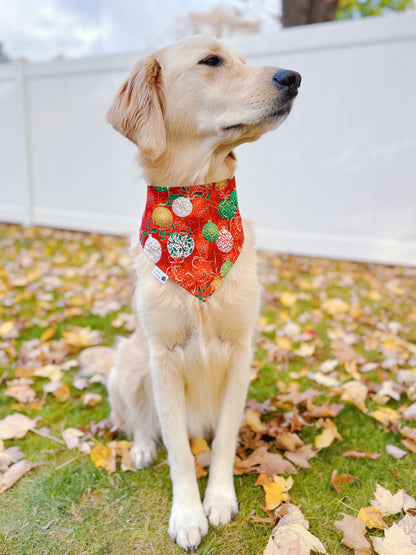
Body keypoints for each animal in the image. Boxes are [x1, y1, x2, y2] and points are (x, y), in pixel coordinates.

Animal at [105, 37, 300, 552]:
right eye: (211, 61)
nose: (293, 77)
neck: (195, 210)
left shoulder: (240, 353)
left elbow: (225, 441)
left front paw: (218, 500)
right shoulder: (162, 358)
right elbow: (178, 450)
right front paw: (189, 514)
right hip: (128, 362)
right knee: (140, 421)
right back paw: (140, 447)